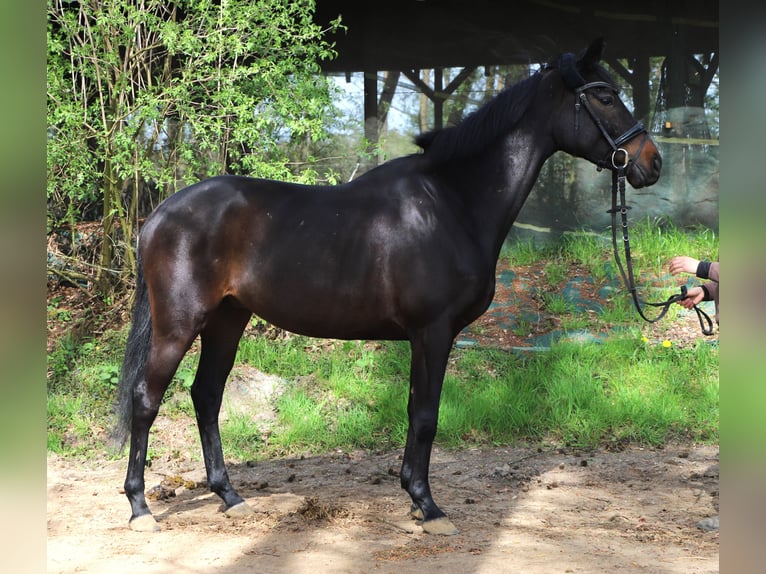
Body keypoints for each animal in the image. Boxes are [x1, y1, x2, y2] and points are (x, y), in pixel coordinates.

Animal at [113, 38, 662, 535]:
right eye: (604, 96)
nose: (650, 162)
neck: (452, 201)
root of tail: (159, 216)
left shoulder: (425, 337)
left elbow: (417, 411)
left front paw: (415, 500)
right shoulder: (434, 332)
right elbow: (426, 415)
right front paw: (429, 506)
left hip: (228, 319)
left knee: (206, 395)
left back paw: (229, 496)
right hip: (179, 324)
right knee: (146, 398)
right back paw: (140, 508)